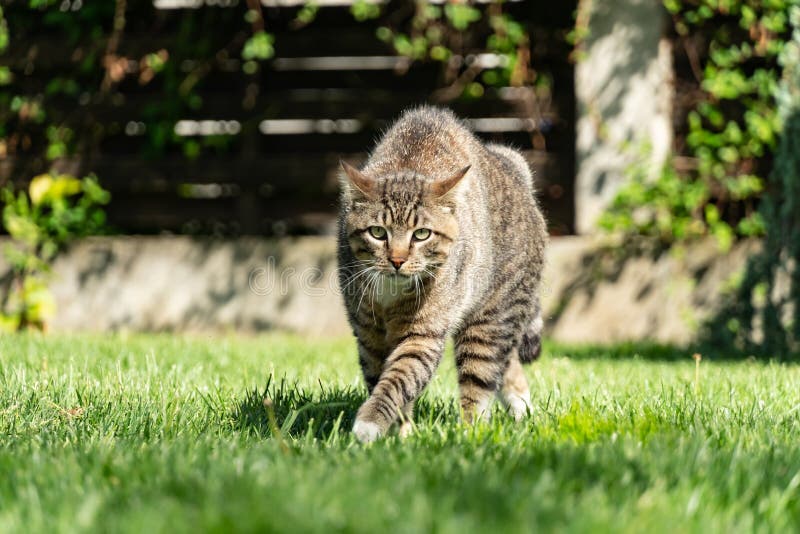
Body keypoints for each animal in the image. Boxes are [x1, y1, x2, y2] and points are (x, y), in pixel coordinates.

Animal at [338, 105, 552, 444]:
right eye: (377, 232)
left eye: (422, 234)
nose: (397, 260)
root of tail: (516, 170)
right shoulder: (368, 335)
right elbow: (380, 379)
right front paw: (400, 433)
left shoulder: (422, 334)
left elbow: (397, 380)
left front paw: (370, 423)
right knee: (507, 366)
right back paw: (521, 409)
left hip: (491, 319)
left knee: (481, 379)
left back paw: (470, 433)